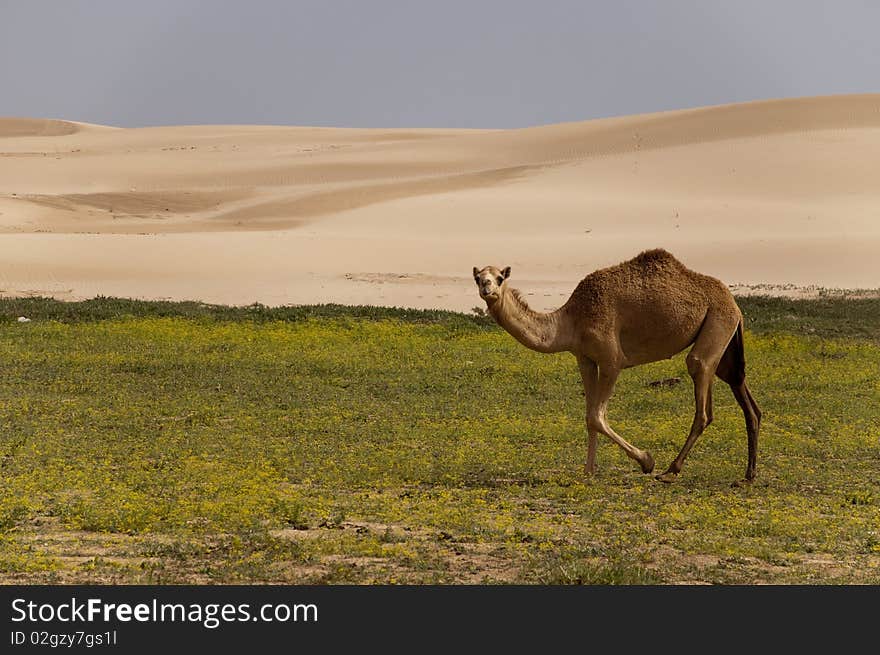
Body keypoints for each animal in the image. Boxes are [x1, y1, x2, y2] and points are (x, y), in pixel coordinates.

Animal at [474, 249, 764, 484]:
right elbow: (588, 417)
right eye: (478, 277)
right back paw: (748, 475)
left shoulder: (611, 360)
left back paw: (670, 471)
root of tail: (734, 303)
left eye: (499, 277)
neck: (570, 320)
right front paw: (588, 471)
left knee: (701, 388)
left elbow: (597, 416)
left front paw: (647, 460)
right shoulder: (584, 359)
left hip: (717, 322)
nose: (487, 288)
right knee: (741, 391)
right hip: (725, 342)